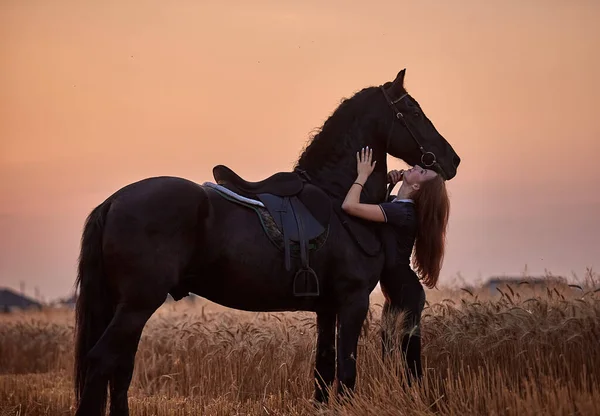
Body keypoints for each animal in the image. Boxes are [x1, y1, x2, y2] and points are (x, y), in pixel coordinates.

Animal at [72, 70, 462, 414]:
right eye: (413, 111)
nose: (452, 159)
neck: (338, 196)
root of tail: (114, 202)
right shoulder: (353, 302)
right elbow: (346, 373)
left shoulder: (327, 308)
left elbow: (323, 373)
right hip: (138, 303)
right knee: (102, 361)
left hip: (127, 305)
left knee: (120, 368)